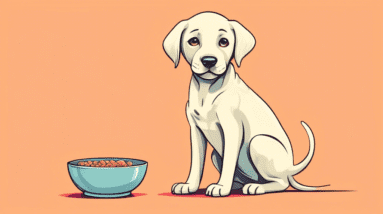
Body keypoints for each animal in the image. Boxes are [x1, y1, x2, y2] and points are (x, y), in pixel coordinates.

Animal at [164, 10, 326, 196]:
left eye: (224, 42)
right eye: (193, 41)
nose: (209, 61)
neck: (207, 90)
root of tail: (289, 169)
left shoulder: (232, 128)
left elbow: (229, 161)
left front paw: (221, 187)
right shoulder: (195, 130)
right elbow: (196, 163)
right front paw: (190, 185)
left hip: (259, 142)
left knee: (281, 182)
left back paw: (257, 187)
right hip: (216, 155)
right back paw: (238, 185)